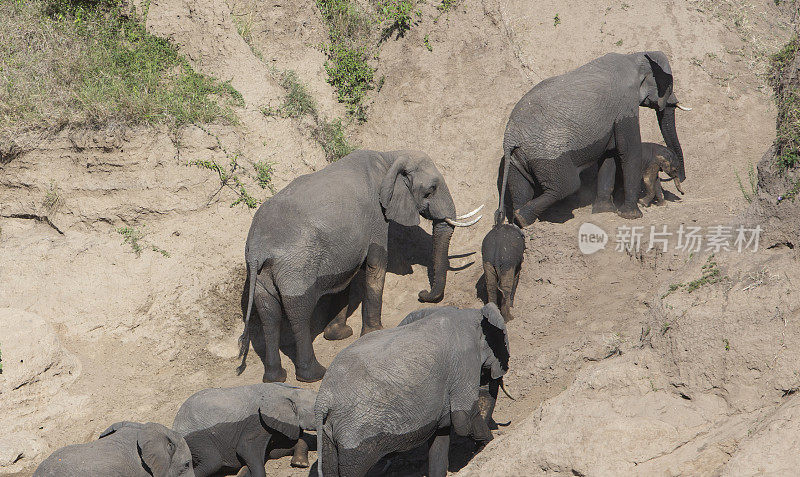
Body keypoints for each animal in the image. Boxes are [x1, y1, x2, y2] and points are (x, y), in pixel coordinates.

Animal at [173, 382, 318, 476]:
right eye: (316, 411)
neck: (287, 391)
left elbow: (273, 451)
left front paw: (300, 463)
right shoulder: (258, 422)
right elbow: (245, 448)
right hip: (195, 438)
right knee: (213, 462)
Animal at [233, 149, 482, 384]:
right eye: (430, 190)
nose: (422, 294)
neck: (389, 158)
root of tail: (258, 250)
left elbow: (344, 278)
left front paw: (339, 335)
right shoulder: (376, 217)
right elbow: (376, 265)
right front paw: (375, 333)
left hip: (261, 275)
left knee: (269, 315)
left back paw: (274, 378)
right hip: (296, 266)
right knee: (299, 313)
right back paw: (314, 375)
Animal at [314, 304, 510, 474]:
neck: (469, 313)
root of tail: (323, 399)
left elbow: (440, 438)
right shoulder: (464, 360)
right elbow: (463, 419)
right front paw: (489, 444)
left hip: (328, 435)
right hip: (356, 434)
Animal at [494, 50, 688, 227]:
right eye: (669, 85)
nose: (682, 179)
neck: (634, 56)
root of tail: (510, 137)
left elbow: (609, 154)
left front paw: (604, 211)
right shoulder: (625, 104)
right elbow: (628, 150)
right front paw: (631, 216)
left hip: (518, 157)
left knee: (521, 188)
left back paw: (521, 223)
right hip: (546, 153)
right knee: (567, 185)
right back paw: (523, 218)